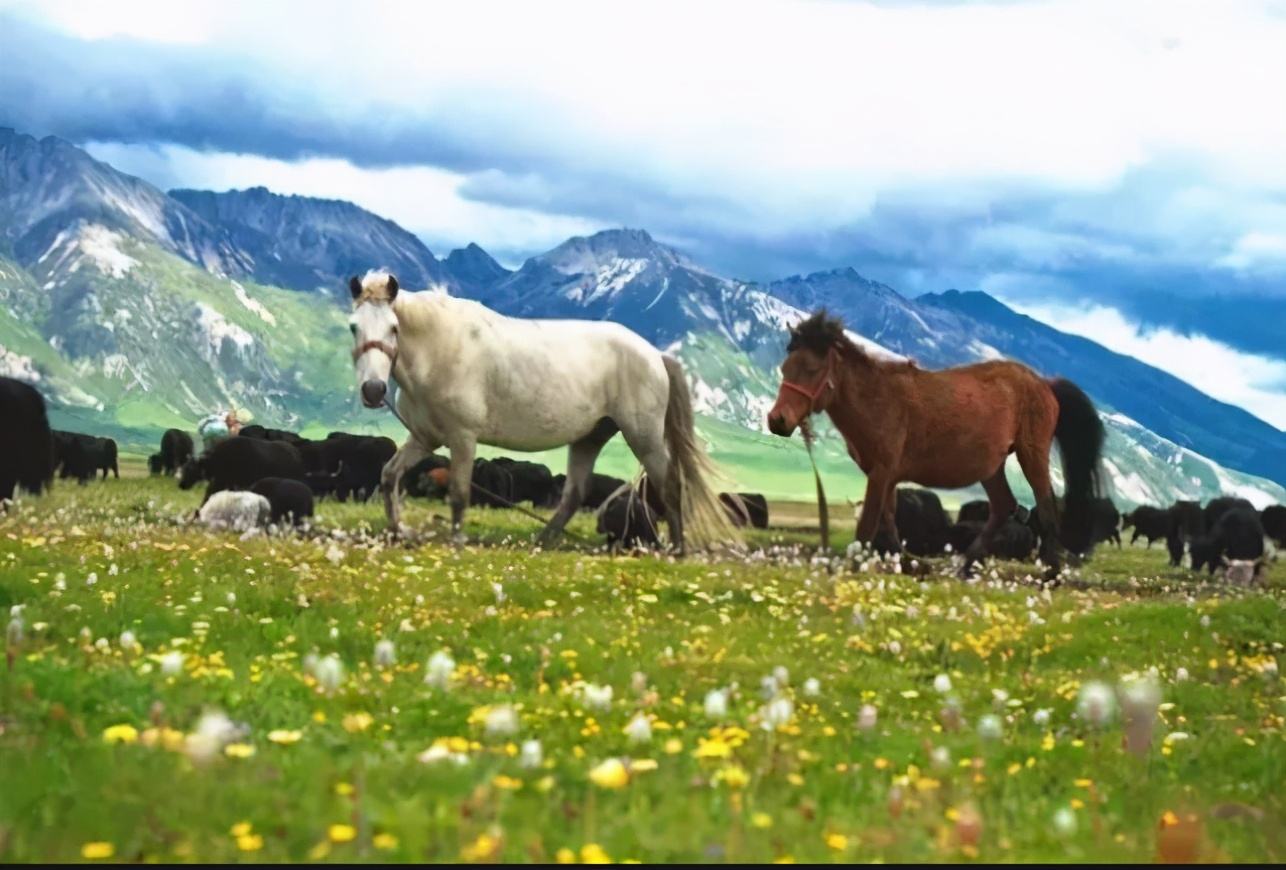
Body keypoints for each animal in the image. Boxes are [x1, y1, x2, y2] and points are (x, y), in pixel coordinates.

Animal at [347, 268, 740, 550]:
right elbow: (389, 475)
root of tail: (655, 355)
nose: (373, 390)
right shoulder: (425, 438)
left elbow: (458, 493)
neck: (439, 350)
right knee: (574, 494)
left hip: (644, 438)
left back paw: (677, 550)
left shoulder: (462, 438)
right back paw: (543, 541)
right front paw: (398, 531)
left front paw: (456, 542)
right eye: (354, 327)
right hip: (589, 438)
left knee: (670, 485)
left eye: (393, 327)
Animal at [761, 312, 1105, 575]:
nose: (777, 420)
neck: (877, 400)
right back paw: (966, 566)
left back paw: (1051, 574)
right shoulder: (886, 476)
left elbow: (869, 524)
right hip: (990, 466)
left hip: (1031, 453)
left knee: (1045, 506)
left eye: (812, 369)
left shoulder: (882, 472)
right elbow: (888, 522)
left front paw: (854, 569)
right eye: (785, 368)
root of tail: (1044, 383)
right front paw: (910, 564)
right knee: (1003, 505)